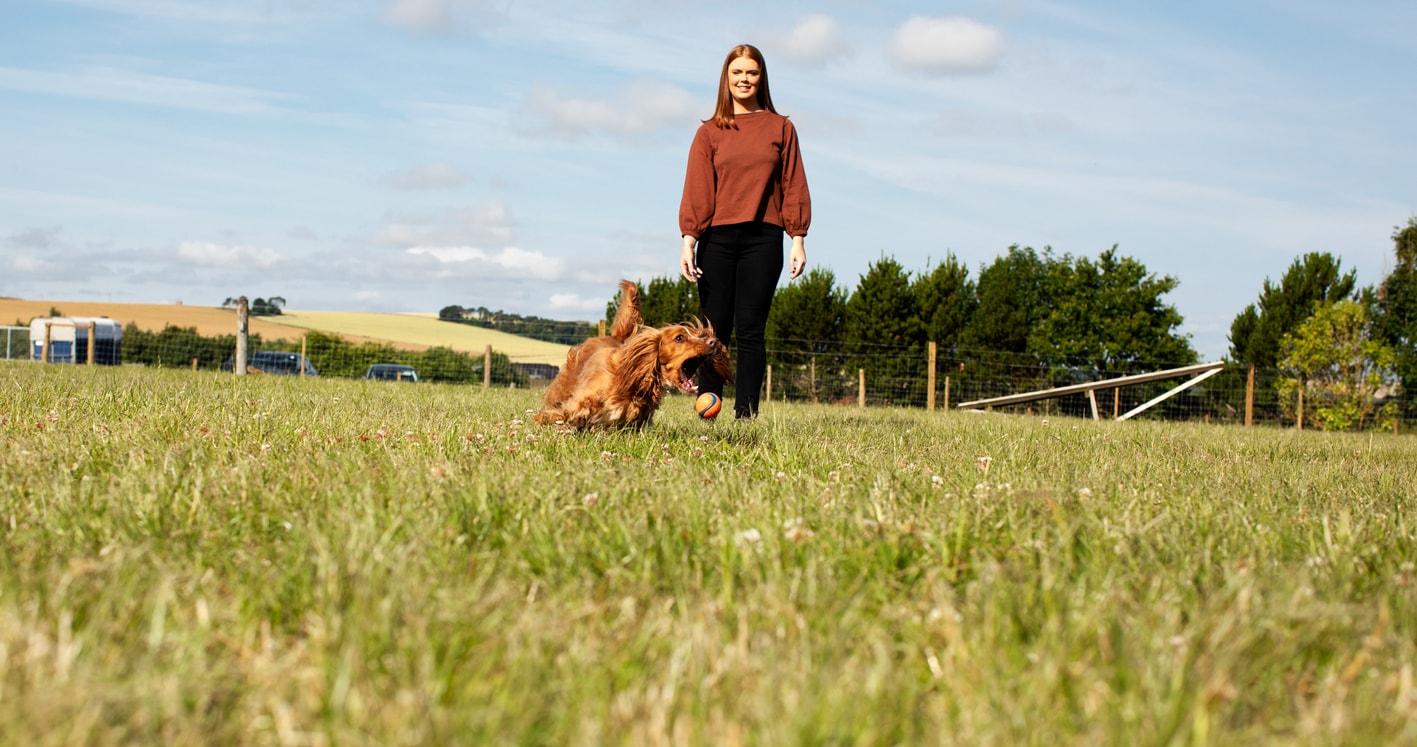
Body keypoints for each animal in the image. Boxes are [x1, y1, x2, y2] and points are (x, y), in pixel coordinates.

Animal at [532, 280, 731, 433]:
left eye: (699, 335)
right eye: (679, 337)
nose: (713, 342)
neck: (629, 377)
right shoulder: (578, 404)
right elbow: (560, 414)